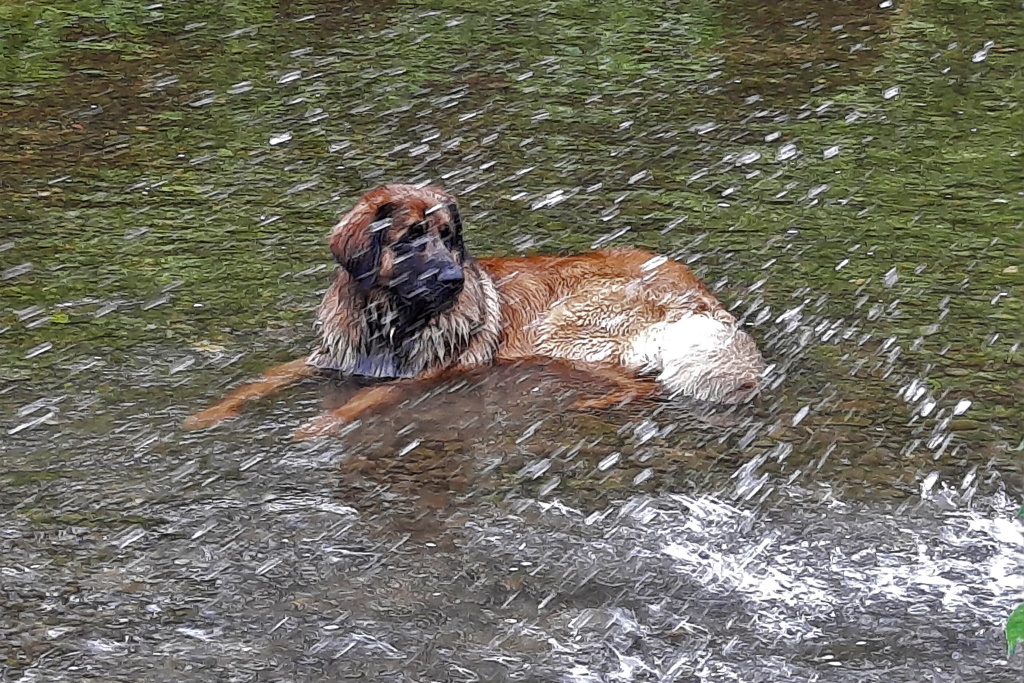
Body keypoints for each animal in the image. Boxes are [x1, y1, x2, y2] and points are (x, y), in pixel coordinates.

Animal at [184, 183, 765, 438]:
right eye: (411, 238)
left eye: (448, 237)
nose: (454, 278)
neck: (388, 320)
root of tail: (697, 287)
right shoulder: (331, 358)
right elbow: (256, 383)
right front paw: (203, 415)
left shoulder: (423, 375)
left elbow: (358, 404)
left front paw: (316, 426)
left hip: (564, 331)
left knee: (644, 384)